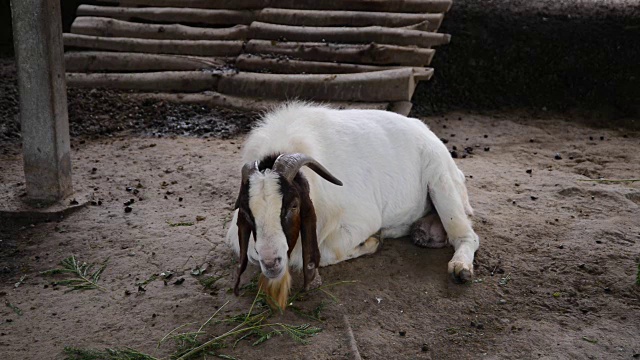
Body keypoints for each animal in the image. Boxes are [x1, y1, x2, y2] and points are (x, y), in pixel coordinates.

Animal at [226, 102, 480, 310]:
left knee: (467, 235)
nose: (271, 262)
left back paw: (460, 268)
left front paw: (371, 242)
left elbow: (323, 252)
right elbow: (252, 252)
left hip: (441, 180)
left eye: (294, 206)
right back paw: (424, 232)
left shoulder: (361, 220)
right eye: (248, 212)